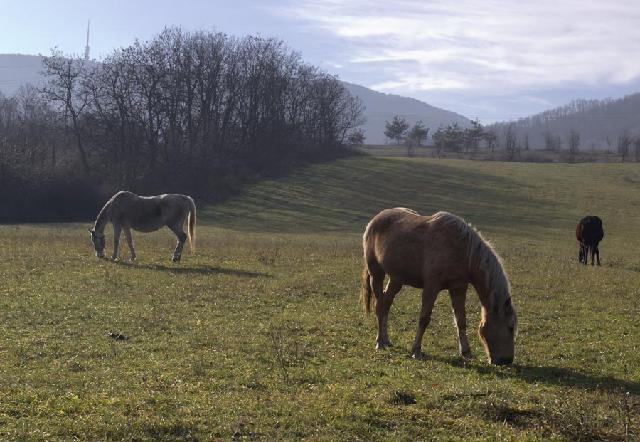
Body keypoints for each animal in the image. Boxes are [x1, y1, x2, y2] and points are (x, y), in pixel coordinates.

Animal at [361, 208, 517, 365]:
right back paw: (380, 342)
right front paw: (416, 350)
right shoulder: (431, 287)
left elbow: (461, 320)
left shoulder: (458, 288)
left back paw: (386, 339)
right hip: (377, 274)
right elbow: (424, 319)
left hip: (396, 279)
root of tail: (375, 220)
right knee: (380, 307)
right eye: (510, 327)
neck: (462, 249)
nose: (507, 360)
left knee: (386, 304)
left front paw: (466, 352)